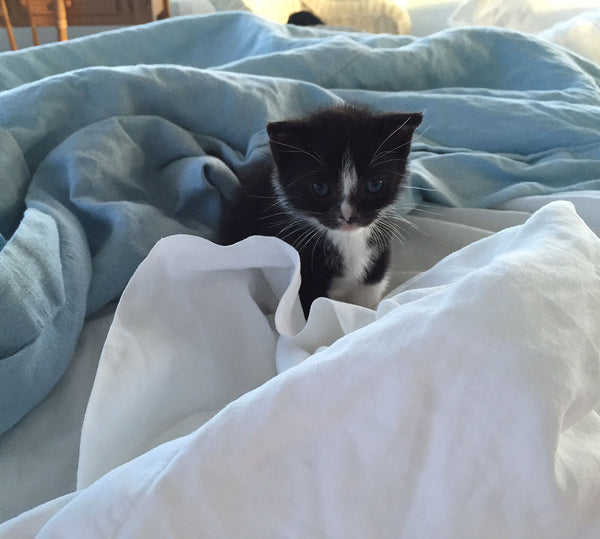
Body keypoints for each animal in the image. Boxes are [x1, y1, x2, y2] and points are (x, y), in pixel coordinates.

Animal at [219, 103, 422, 318]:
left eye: (374, 185)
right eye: (320, 187)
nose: (348, 215)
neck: (346, 239)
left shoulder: (380, 243)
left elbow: (370, 288)